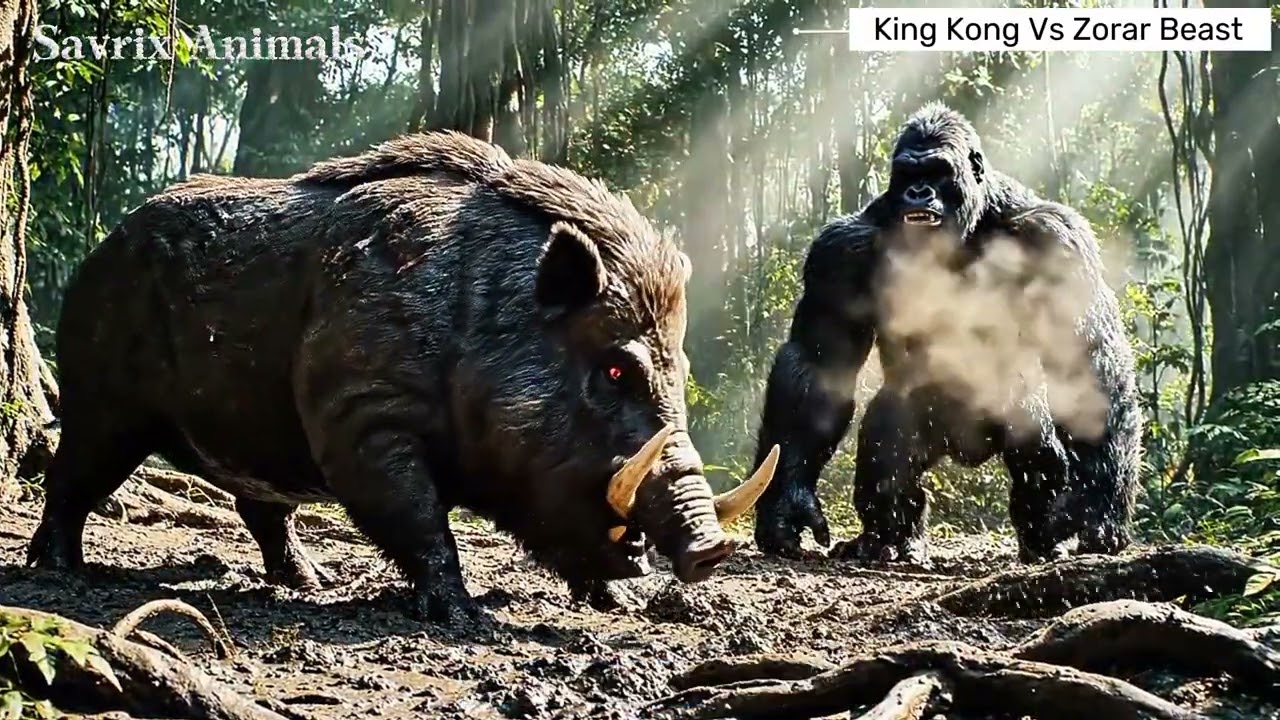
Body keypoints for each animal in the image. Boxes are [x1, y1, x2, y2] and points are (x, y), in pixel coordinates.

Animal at [26, 131, 779, 628]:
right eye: (618, 366)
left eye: (680, 372)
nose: (713, 549)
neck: (472, 326)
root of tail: (102, 247)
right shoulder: (362, 414)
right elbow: (416, 513)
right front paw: (460, 615)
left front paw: (617, 604)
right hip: (102, 398)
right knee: (72, 471)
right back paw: (57, 568)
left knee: (262, 506)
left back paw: (309, 581)